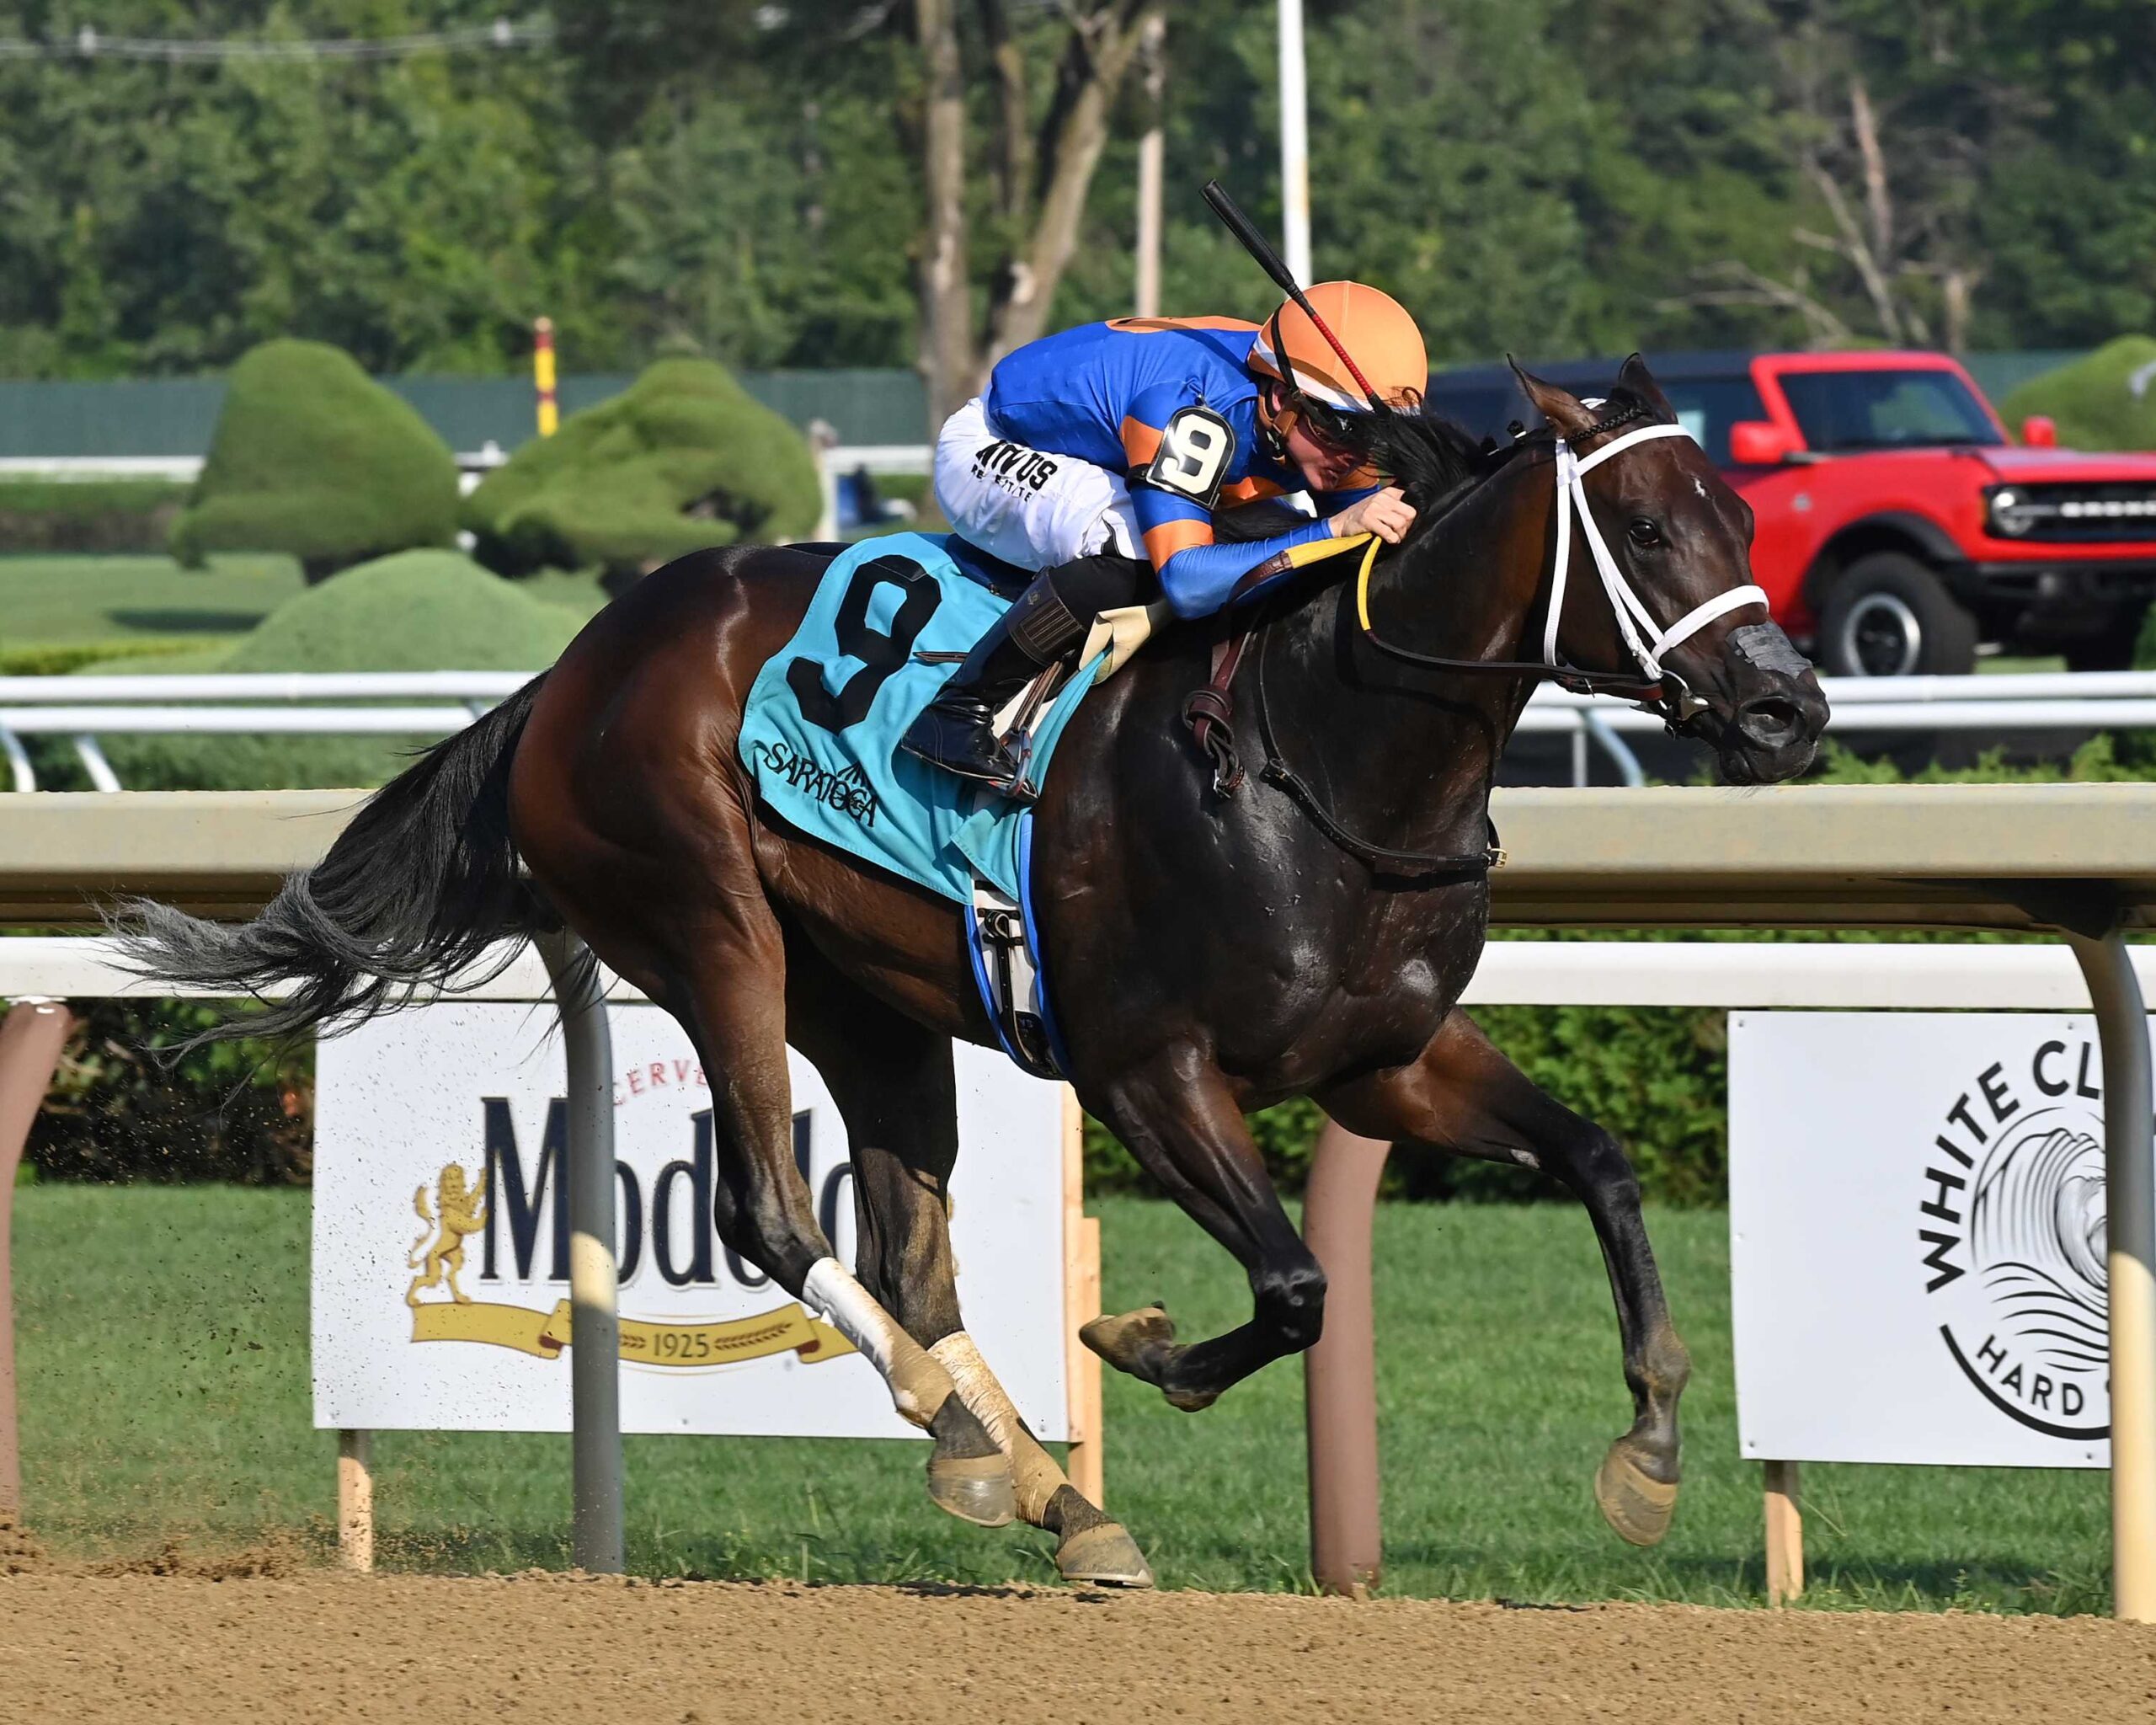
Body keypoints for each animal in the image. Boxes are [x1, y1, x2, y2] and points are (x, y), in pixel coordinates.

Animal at [119, 358, 1828, 1588]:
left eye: (1748, 523)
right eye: (1653, 530)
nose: (1791, 711)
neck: (1323, 755)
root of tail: (571, 664)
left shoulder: (1386, 1061)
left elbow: (1598, 1160)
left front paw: (1650, 1451)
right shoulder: (1149, 1070)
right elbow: (1293, 1285)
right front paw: (1144, 1347)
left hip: (870, 1003)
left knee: (910, 1263)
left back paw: (1039, 1492)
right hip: (711, 926)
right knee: (772, 1212)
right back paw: (976, 1439)